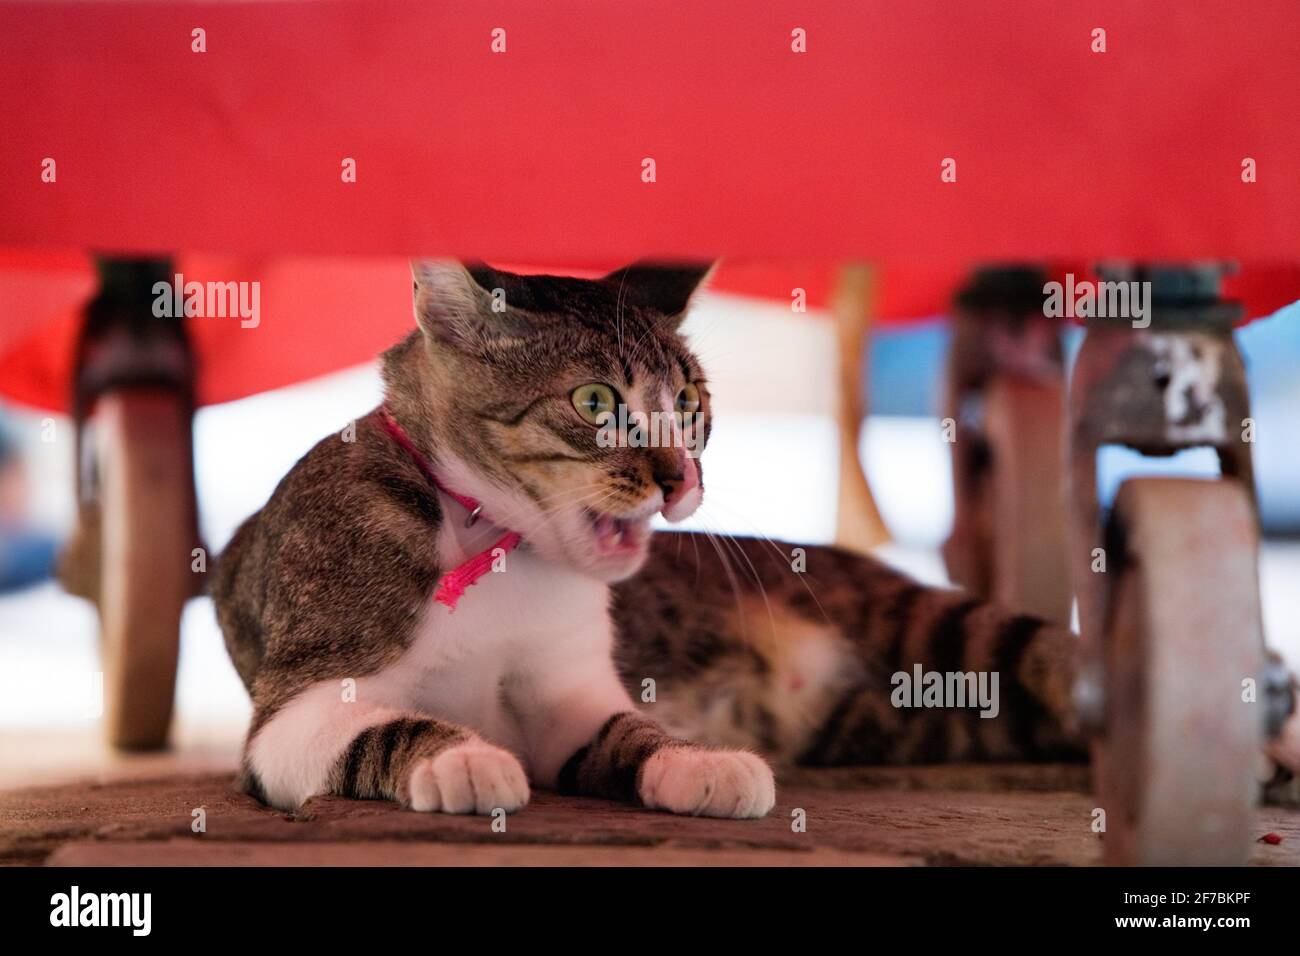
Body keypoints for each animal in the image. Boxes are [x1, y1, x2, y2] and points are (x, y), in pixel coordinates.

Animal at [213, 261, 1081, 822]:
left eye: (691, 402)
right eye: (596, 401)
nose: (682, 476)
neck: (496, 548)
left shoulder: (568, 694)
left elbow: (631, 727)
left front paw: (699, 762)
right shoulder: (294, 709)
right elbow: (379, 726)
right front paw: (461, 757)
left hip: (955, 633)